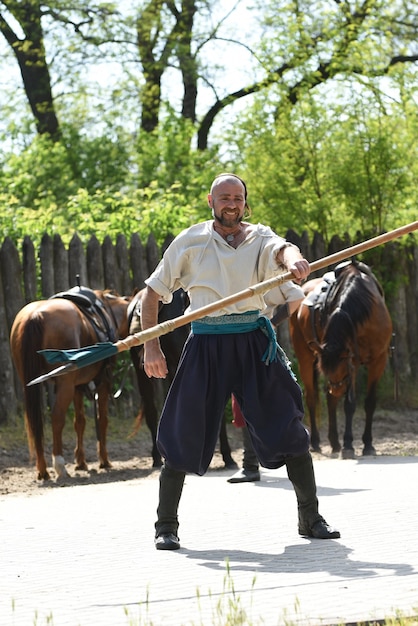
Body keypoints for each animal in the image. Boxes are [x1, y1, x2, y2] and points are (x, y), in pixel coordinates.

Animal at [9, 288, 131, 478]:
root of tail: (35, 315)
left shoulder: (77, 387)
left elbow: (79, 422)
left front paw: (81, 462)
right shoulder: (103, 382)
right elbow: (102, 420)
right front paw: (104, 460)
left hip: (32, 383)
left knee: (35, 423)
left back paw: (42, 469)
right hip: (65, 384)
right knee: (57, 417)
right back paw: (59, 464)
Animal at [290, 258, 394, 458]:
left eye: (342, 368)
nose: (336, 389)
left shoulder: (378, 360)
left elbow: (370, 402)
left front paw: (368, 444)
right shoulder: (352, 360)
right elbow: (349, 404)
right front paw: (348, 445)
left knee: (329, 400)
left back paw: (334, 442)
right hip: (305, 357)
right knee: (312, 398)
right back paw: (316, 442)